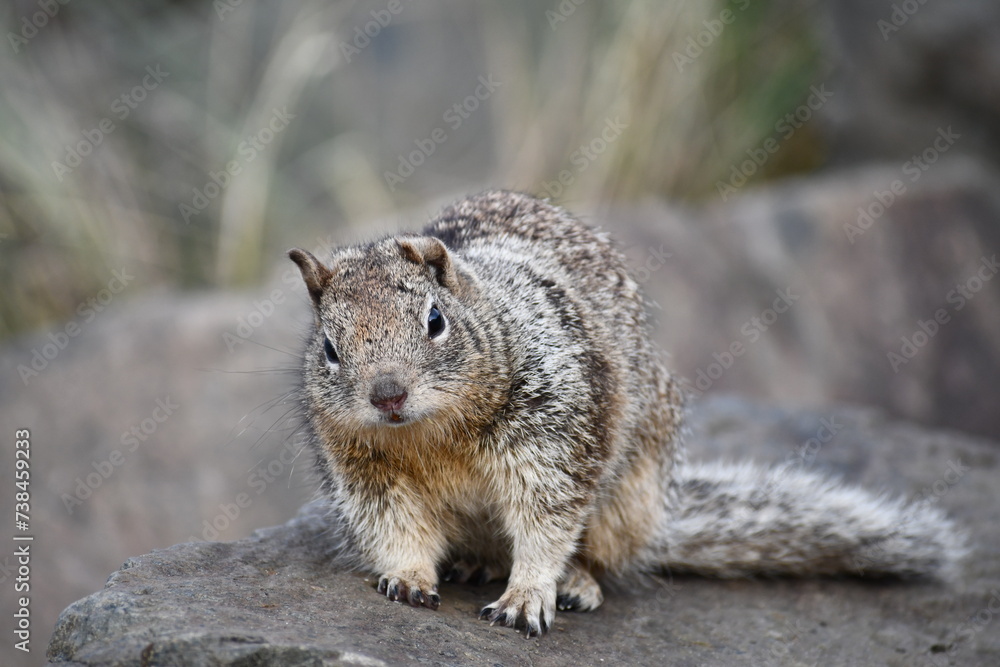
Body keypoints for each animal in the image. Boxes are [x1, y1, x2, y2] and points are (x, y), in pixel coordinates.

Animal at [288, 189, 966, 638]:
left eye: (435, 321)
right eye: (329, 348)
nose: (387, 395)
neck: (432, 434)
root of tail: (661, 516)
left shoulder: (557, 432)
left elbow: (546, 522)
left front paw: (528, 594)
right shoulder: (365, 470)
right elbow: (394, 526)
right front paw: (407, 578)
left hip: (625, 497)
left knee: (599, 555)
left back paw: (575, 583)